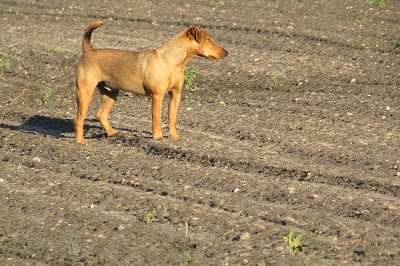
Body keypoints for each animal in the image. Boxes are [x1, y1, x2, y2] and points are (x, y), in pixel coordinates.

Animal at [74, 21, 228, 144]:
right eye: (208, 39)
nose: (226, 52)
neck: (173, 61)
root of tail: (88, 51)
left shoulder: (176, 95)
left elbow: (172, 119)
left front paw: (174, 136)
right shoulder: (157, 96)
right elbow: (157, 119)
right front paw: (158, 137)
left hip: (110, 93)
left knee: (101, 115)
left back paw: (112, 133)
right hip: (85, 93)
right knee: (79, 119)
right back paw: (81, 141)